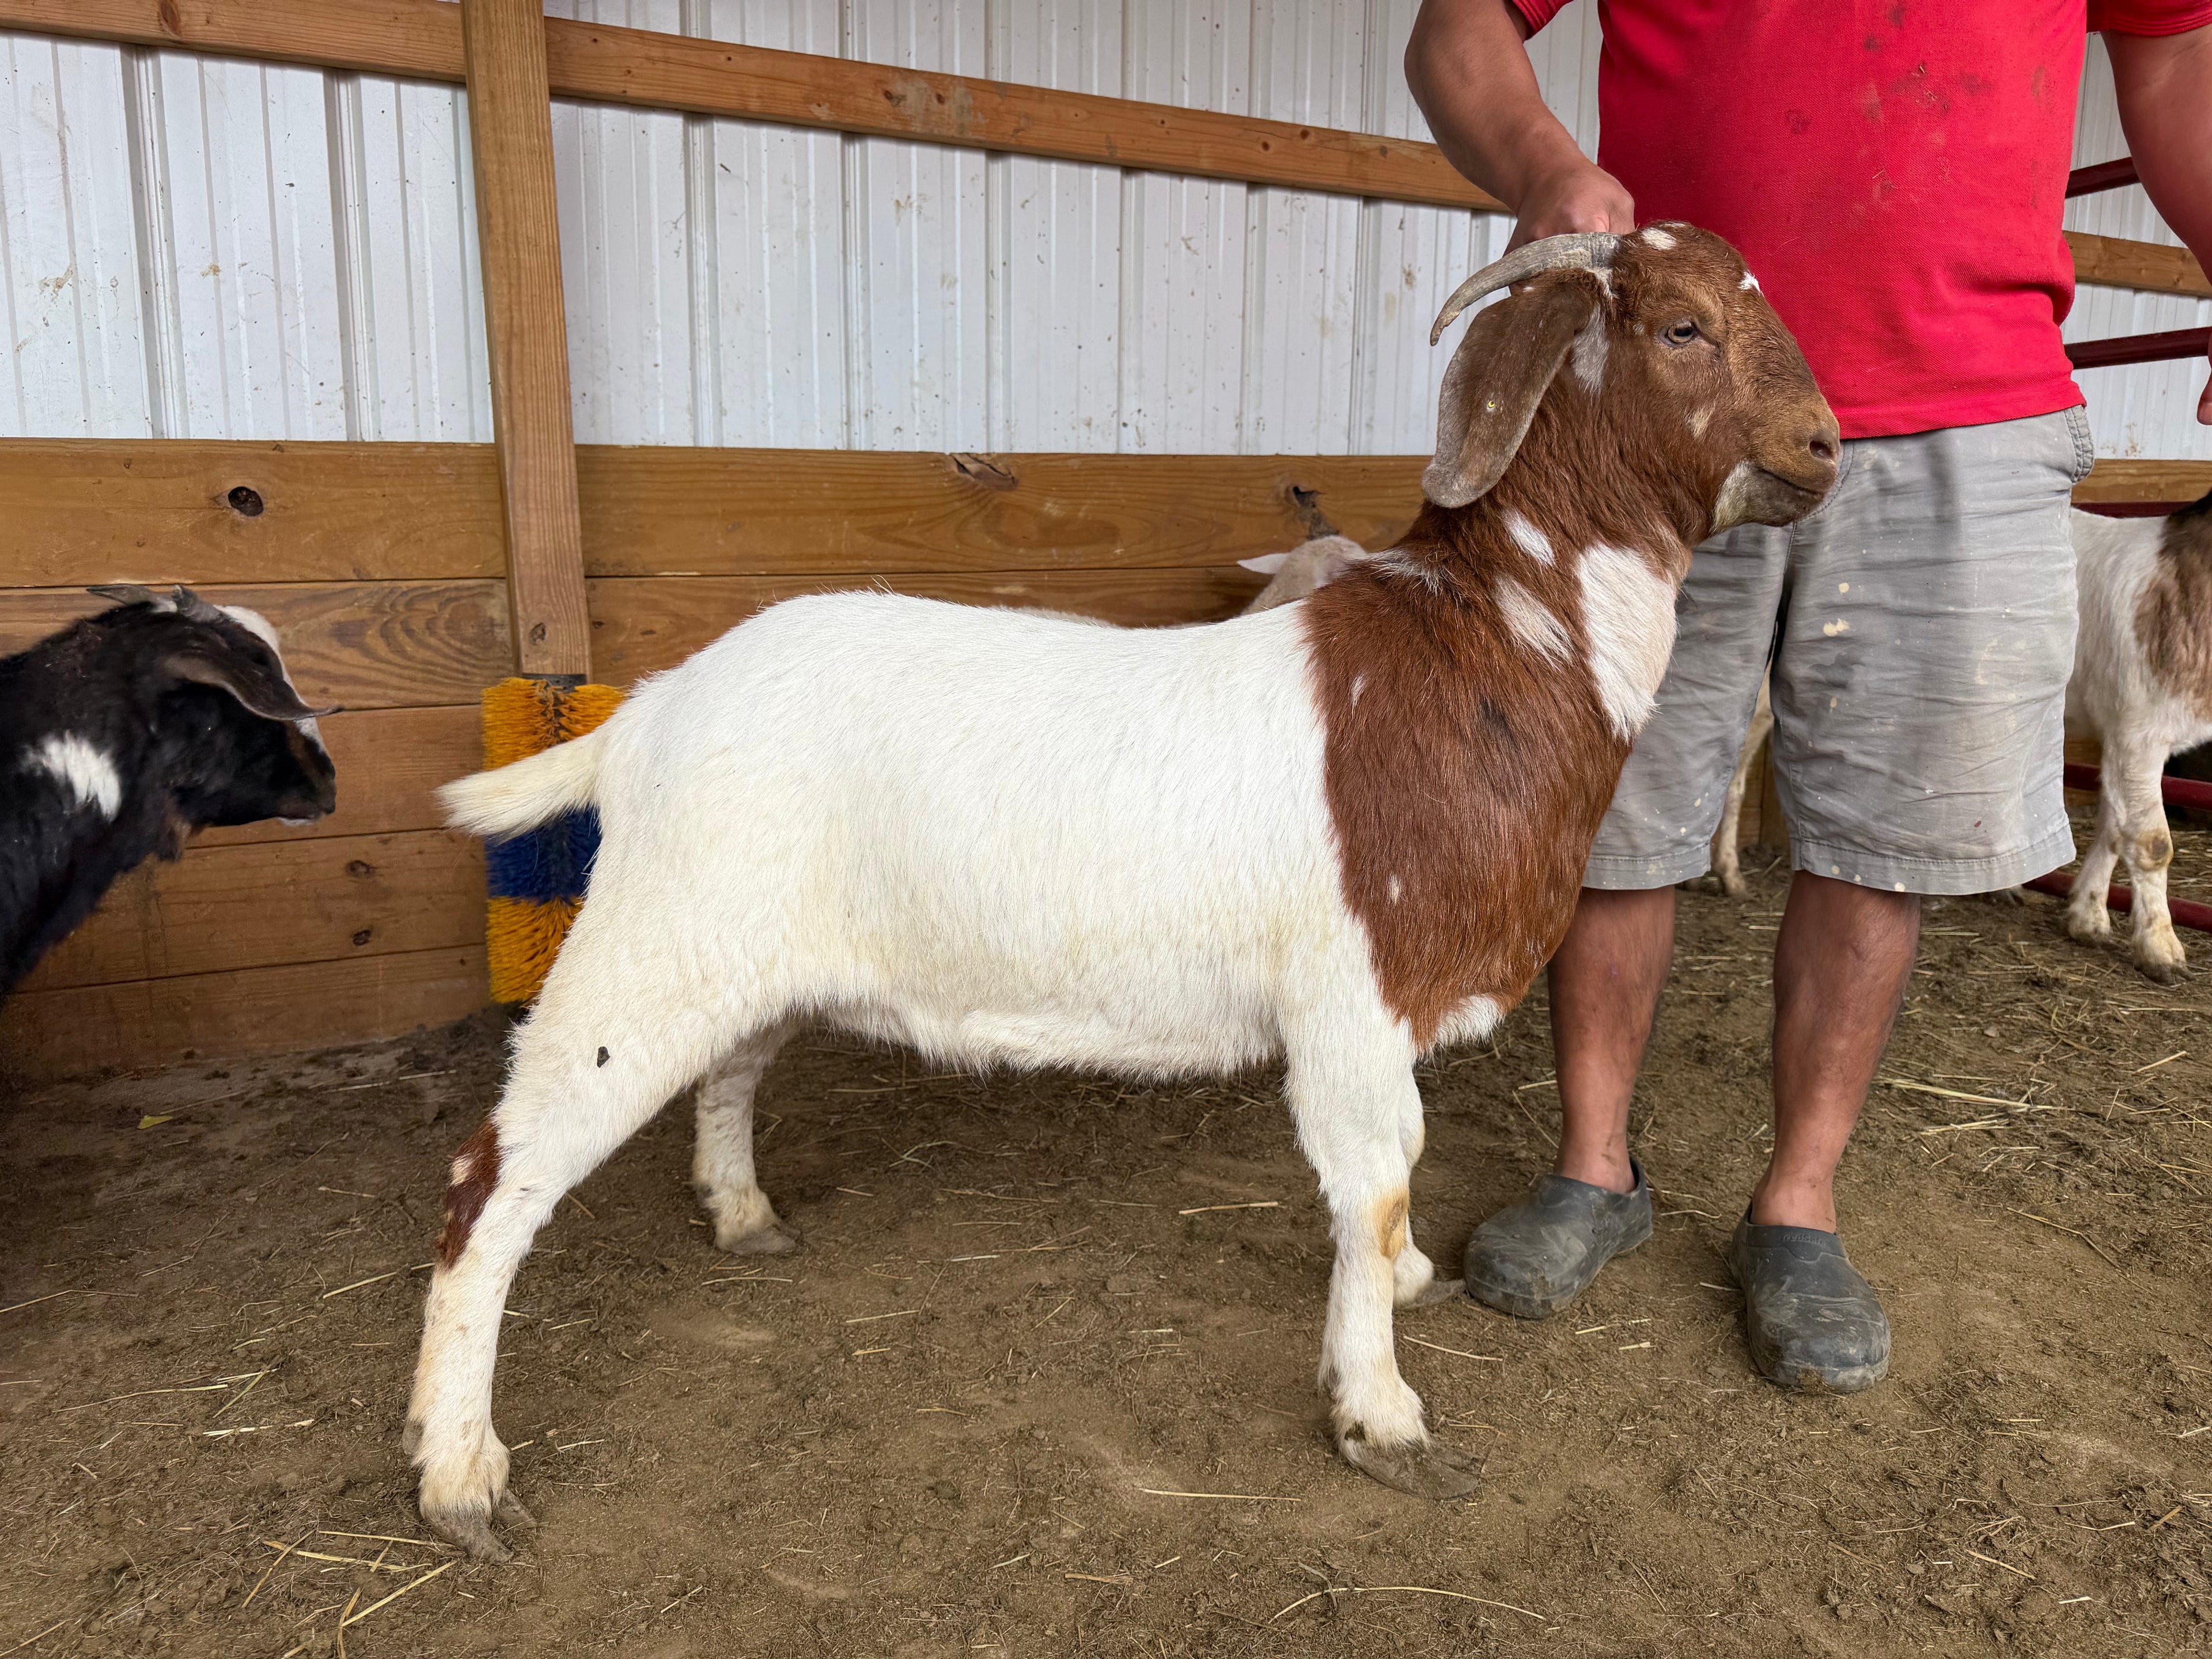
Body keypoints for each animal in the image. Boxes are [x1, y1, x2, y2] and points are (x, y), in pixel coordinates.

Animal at [406, 225, 1839, 1558]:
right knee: (492, 1179)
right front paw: (1381, 1417)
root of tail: (648, 712)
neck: (1487, 653)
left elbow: (1388, 1206)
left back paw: (742, 1214)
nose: (1827, 447)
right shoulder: (1351, 1005)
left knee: (732, 1071)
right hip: (648, 949)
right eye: (1681, 326)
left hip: (750, 952)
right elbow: (1374, 1185)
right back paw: (461, 1475)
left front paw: (1413, 1281)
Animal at [2063, 494, 2212, 981]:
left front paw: (2088, 916)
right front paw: (2160, 948)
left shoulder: (2121, 737)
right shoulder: (2140, 733)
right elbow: (2153, 843)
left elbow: (2114, 825)